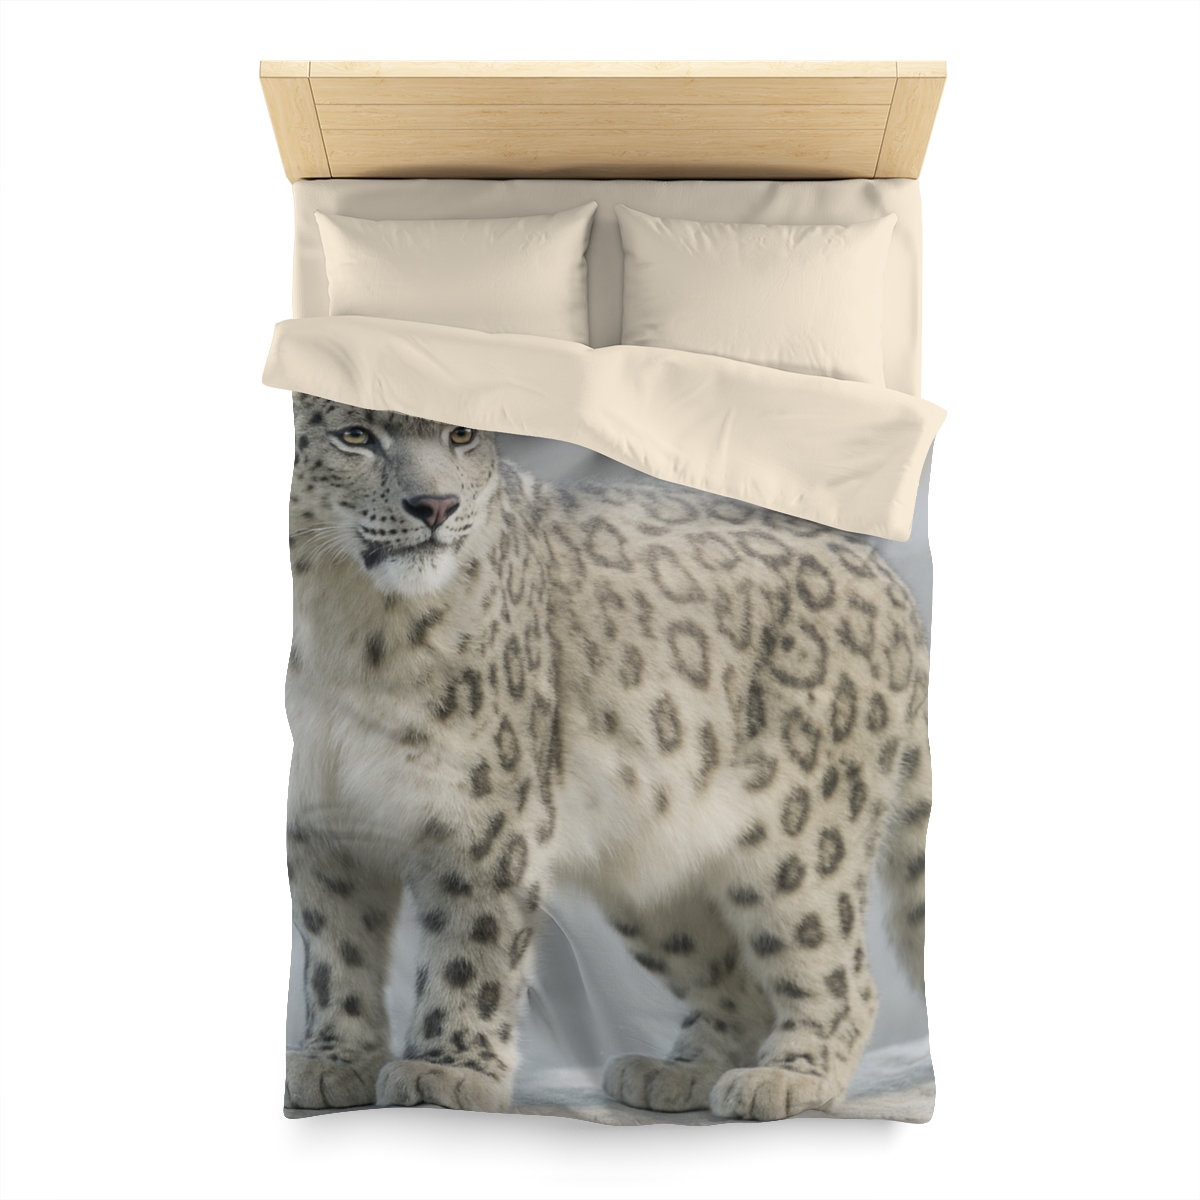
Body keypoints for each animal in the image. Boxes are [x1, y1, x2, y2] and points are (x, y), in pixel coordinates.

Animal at [282, 392, 931, 1122]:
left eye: (461, 435)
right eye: (355, 435)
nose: (437, 505)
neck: (344, 627)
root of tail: (893, 582)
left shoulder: (483, 815)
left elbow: (469, 945)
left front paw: (446, 1071)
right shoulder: (323, 825)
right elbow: (336, 947)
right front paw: (333, 1061)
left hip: (803, 842)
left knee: (836, 969)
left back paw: (786, 1076)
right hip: (655, 883)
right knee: (735, 979)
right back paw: (674, 1072)